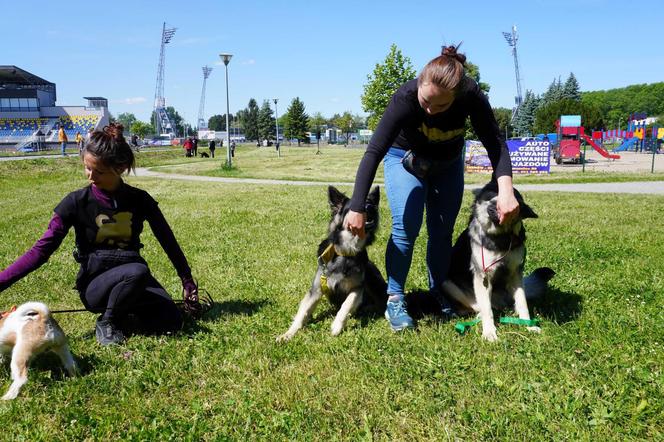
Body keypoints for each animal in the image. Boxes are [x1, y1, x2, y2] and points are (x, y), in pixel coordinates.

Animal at [276, 185, 390, 340]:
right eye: (357, 205)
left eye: (371, 202)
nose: (371, 207)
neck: (345, 252)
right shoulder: (316, 290)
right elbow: (302, 313)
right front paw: (288, 334)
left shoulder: (357, 288)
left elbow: (346, 305)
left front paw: (337, 326)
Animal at [440, 180, 556, 342]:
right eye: (494, 193)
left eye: (517, 204)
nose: (499, 207)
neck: (501, 237)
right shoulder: (483, 278)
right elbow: (487, 309)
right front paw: (489, 332)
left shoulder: (515, 275)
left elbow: (522, 302)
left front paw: (527, 325)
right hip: (447, 284)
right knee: (478, 307)